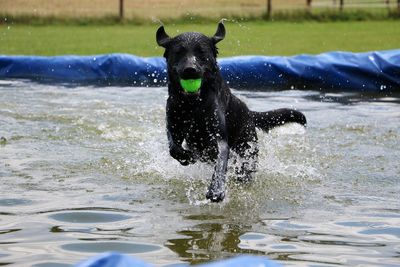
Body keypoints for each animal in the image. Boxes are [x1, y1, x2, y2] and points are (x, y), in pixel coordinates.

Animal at [156, 21, 306, 202]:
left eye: (202, 52)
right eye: (178, 52)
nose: (190, 69)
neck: (192, 105)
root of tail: (249, 111)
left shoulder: (219, 139)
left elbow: (220, 162)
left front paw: (216, 190)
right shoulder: (173, 124)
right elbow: (174, 147)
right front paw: (187, 157)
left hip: (247, 149)